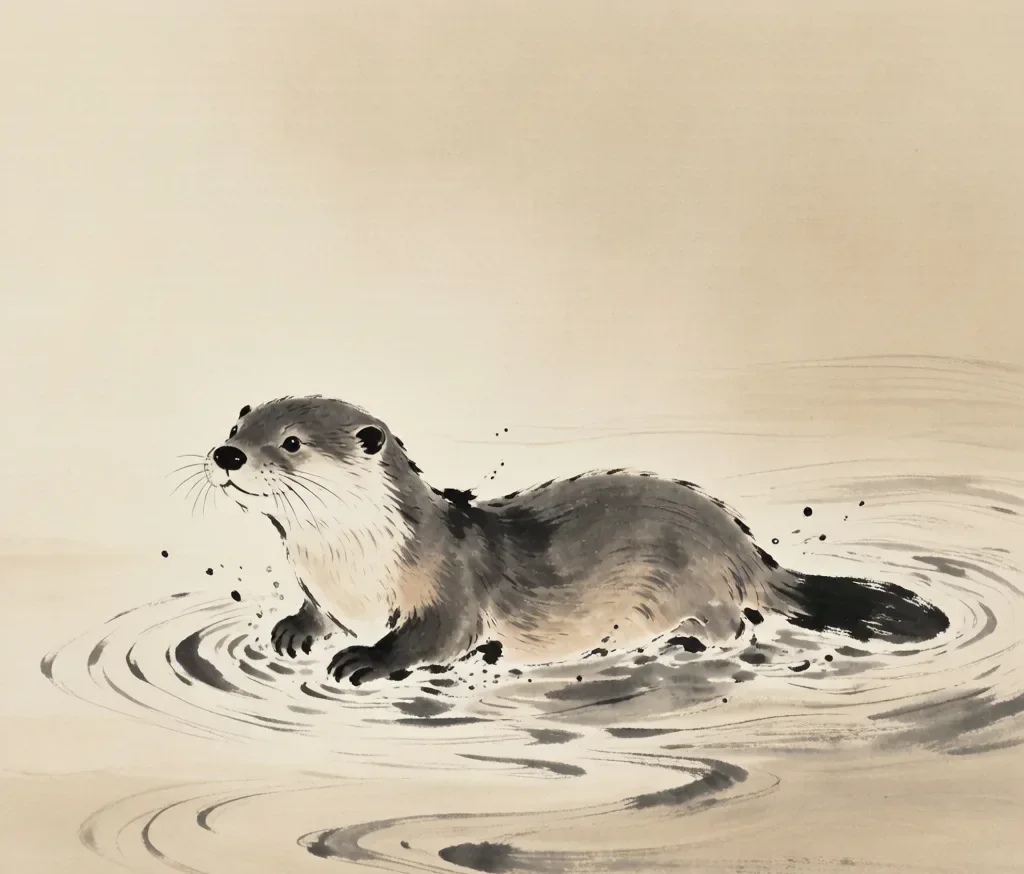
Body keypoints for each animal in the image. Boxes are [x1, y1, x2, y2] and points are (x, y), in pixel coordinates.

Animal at [199, 396, 949, 685]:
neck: (351, 568)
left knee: (734, 623)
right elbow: (314, 612)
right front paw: (296, 629)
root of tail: (748, 552)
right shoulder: (325, 588)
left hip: (697, 579)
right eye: (238, 423)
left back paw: (682, 642)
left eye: (291, 442)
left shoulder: (446, 585)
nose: (226, 455)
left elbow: (436, 637)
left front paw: (366, 659)